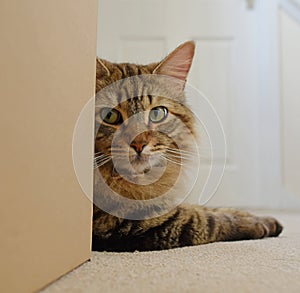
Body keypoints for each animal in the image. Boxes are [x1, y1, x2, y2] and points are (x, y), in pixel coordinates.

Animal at [92, 41, 282, 251]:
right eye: (110, 116)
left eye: (157, 113)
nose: (139, 144)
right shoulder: (129, 221)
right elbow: (205, 219)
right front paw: (256, 223)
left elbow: (207, 208)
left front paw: (251, 215)